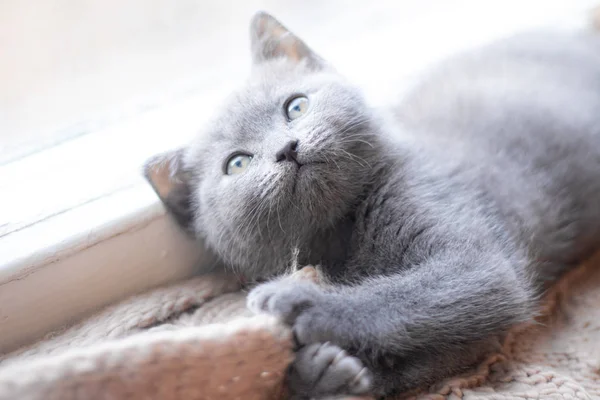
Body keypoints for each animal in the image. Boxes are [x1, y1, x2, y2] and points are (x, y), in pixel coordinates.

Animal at [143, 11, 600, 400]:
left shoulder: (476, 258)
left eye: (296, 105)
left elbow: (410, 297)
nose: (287, 148)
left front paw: (298, 304)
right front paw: (324, 374)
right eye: (237, 163)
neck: (342, 237)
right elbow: (444, 349)